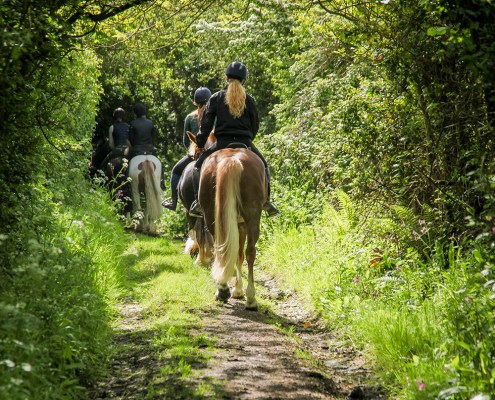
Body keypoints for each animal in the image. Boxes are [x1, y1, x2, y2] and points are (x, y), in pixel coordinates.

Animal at [189, 131, 268, 310]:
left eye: (195, 153)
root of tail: (231, 159)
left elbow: (236, 253)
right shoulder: (242, 224)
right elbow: (239, 254)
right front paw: (238, 290)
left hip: (212, 216)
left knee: (220, 248)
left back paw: (223, 290)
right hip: (252, 218)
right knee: (250, 252)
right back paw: (250, 298)